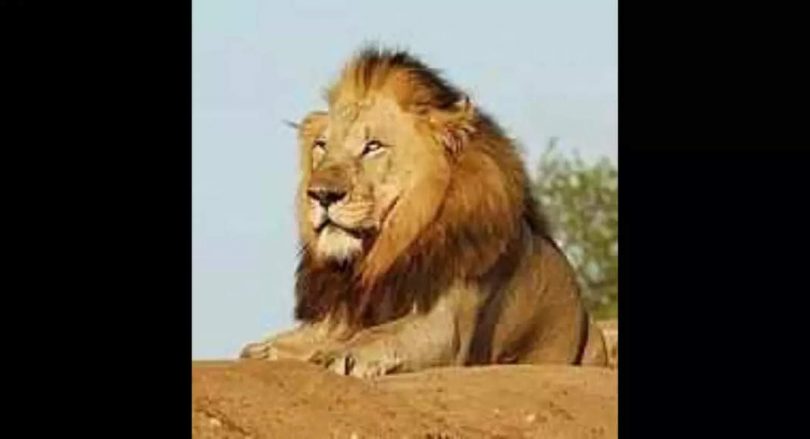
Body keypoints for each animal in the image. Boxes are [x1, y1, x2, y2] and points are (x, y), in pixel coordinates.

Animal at [240, 48, 608, 377]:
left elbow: (382, 334)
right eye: (321, 146)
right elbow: (284, 343)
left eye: (373, 146)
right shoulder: (343, 314)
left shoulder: (445, 324)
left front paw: (340, 354)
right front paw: (262, 352)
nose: (320, 195)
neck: (383, 253)